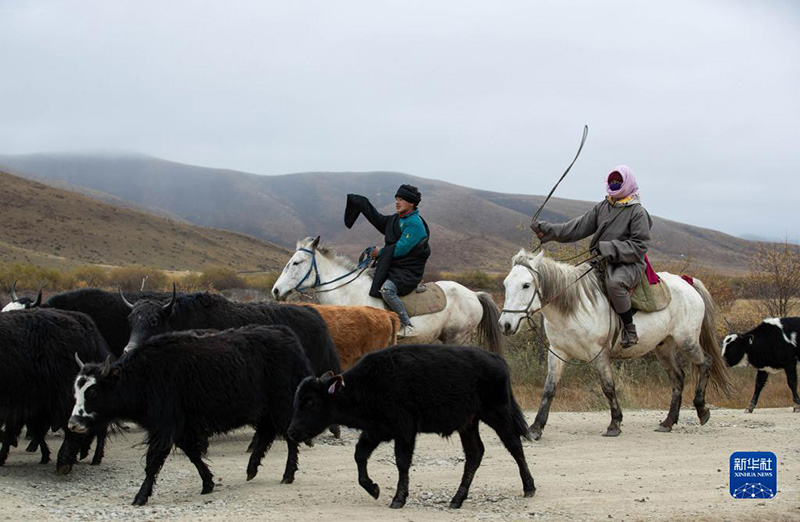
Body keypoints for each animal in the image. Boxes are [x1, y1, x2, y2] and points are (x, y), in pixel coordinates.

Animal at [500, 250, 732, 436]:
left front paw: (614, 424)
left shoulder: (599, 354)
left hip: (687, 341)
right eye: (505, 284)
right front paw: (535, 428)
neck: (573, 307)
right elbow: (549, 389)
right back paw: (667, 422)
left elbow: (608, 387)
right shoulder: (558, 353)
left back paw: (702, 410)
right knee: (678, 378)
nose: (505, 324)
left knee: (705, 363)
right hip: (664, 346)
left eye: (526, 285)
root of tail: (687, 282)